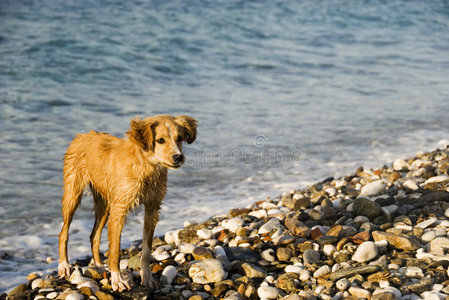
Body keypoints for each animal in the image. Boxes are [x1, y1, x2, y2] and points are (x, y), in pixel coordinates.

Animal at [57, 114, 196, 290]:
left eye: (179, 138)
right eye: (160, 140)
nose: (178, 157)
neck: (146, 165)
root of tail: (81, 135)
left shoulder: (152, 208)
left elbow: (146, 250)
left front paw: (147, 277)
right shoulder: (120, 209)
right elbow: (115, 250)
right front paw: (117, 280)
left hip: (104, 203)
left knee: (94, 234)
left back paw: (98, 265)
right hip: (73, 193)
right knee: (64, 232)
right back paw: (64, 265)